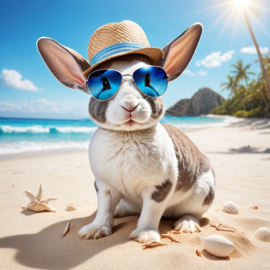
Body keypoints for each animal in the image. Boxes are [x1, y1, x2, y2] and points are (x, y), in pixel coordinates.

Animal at [37, 21, 216, 244]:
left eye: (149, 80)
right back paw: (120, 210)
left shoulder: (160, 187)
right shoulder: (104, 186)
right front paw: (93, 231)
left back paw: (186, 224)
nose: (130, 104)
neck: (127, 136)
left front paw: (146, 236)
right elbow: (104, 209)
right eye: (104, 83)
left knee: (194, 213)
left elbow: (151, 212)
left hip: (204, 191)